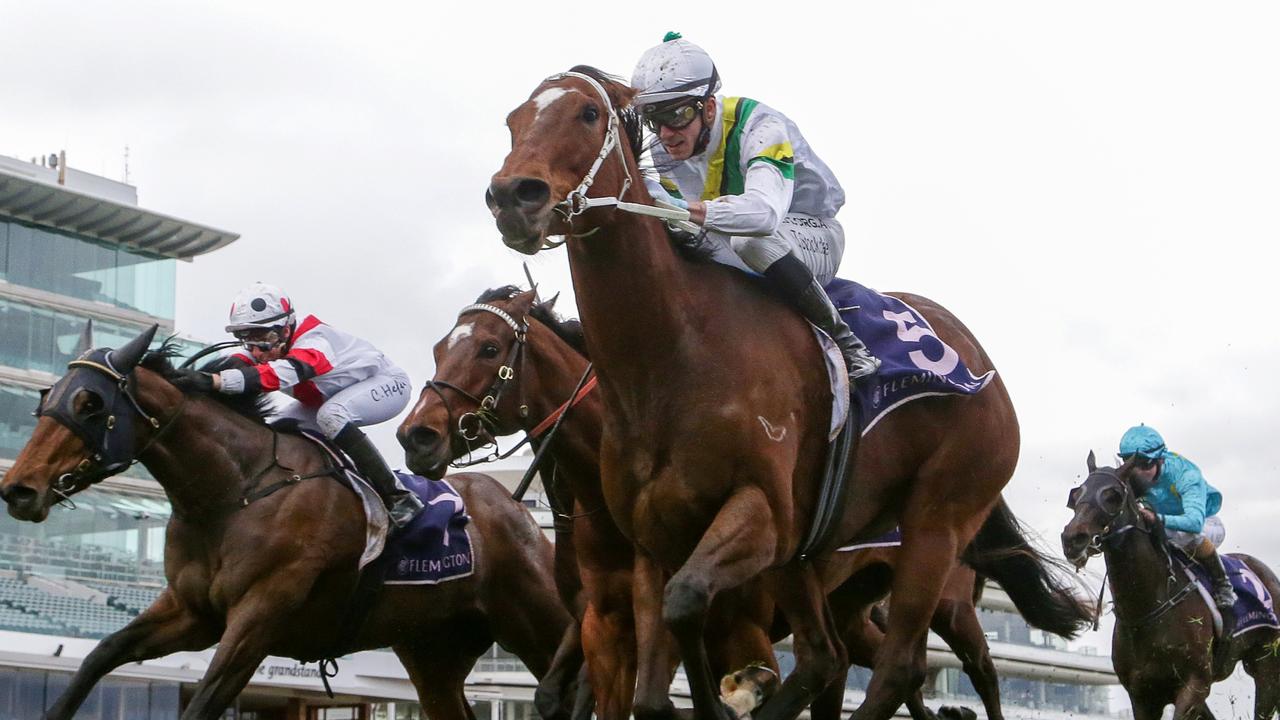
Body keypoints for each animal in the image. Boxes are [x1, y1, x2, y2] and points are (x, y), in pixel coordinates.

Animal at [0, 325, 573, 717]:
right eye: (46, 398)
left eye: (90, 403)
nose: (19, 488)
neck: (233, 494)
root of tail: (515, 505)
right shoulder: (192, 613)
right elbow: (100, 655)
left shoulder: (258, 618)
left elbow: (202, 701)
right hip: (432, 653)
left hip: (540, 623)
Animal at [396, 285, 1090, 717]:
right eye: (438, 347)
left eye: (489, 348)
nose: (417, 434)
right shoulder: (602, 618)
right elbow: (573, 697)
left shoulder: (737, 620)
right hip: (856, 606)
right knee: (865, 668)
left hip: (945, 590)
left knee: (977, 670)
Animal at [483, 67, 1044, 717]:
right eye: (513, 121)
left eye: (587, 114)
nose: (513, 195)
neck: (671, 357)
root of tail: (979, 361)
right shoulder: (653, 545)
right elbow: (655, 682)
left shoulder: (763, 514)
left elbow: (688, 599)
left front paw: (732, 693)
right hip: (810, 555)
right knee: (827, 654)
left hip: (937, 525)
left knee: (903, 664)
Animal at [1059, 453, 1280, 717]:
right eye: (1076, 494)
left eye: (1113, 495)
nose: (1072, 538)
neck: (1147, 607)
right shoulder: (1142, 695)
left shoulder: (1195, 684)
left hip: (1266, 664)